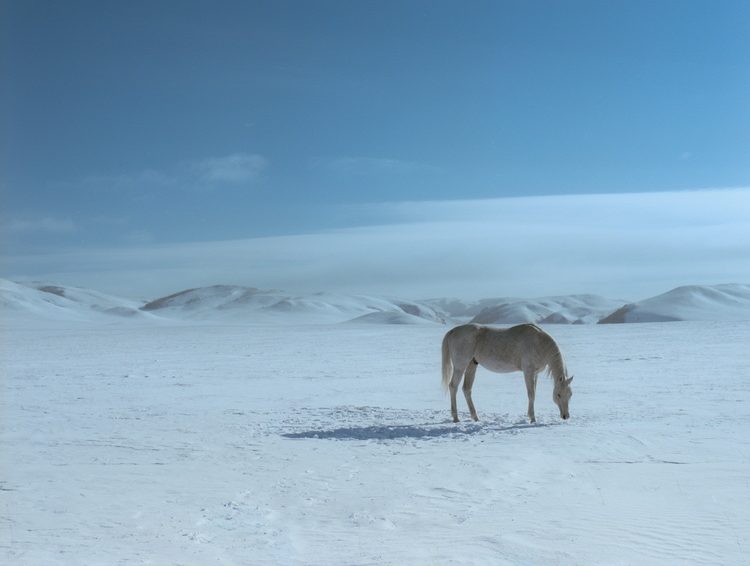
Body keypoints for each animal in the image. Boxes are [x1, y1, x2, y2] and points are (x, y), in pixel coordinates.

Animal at [444, 326, 572, 424]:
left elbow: (533, 394)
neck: (539, 343)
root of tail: (452, 331)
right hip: (460, 367)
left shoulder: (535, 374)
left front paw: (530, 416)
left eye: (570, 394)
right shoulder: (528, 372)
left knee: (466, 389)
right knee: (453, 386)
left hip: (472, 365)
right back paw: (456, 418)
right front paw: (533, 419)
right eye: (558, 394)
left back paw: (475, 418)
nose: (565, 416)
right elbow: (531, 394)